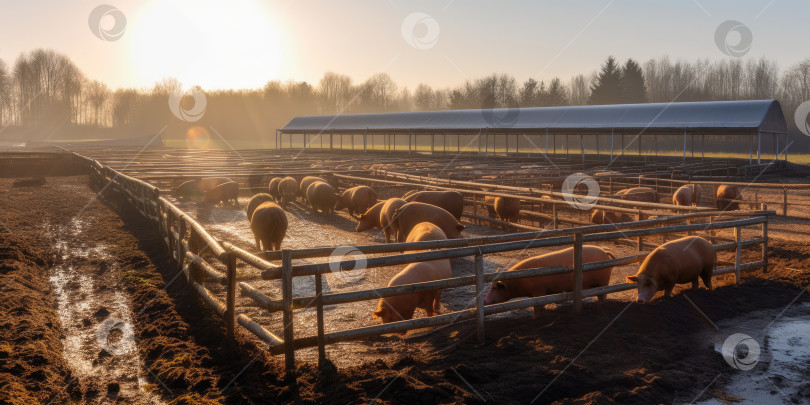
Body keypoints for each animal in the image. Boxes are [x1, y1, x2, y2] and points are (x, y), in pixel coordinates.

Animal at [482, 245, 616, 318]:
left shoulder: (538, 290)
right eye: (491, 286)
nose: (484, 300)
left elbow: (537, 306)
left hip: (604, 280)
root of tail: (605, 252)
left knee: (603, 295)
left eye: (496, 287)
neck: (519, 282)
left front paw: (535, 317)